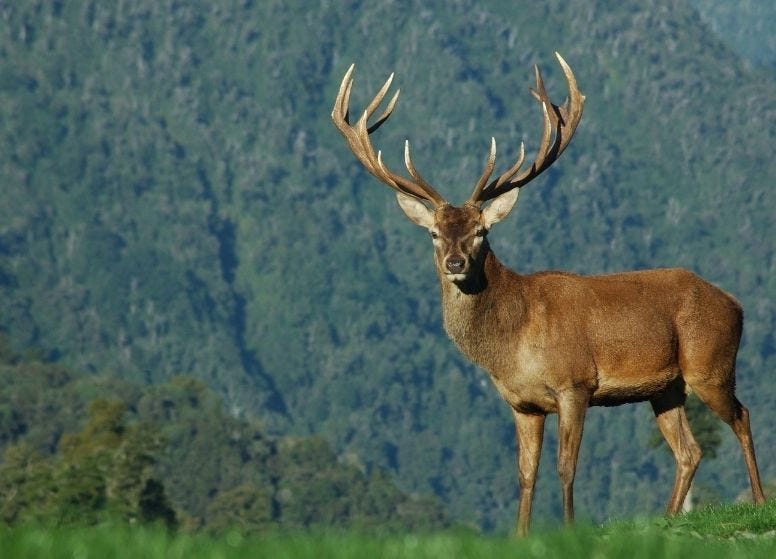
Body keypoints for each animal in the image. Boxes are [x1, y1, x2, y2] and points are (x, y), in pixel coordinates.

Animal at [330, 53, 768, 540]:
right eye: (434, 233)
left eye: (481, 231)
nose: (456, 263)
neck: (512, 343)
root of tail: (737, 305)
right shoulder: (522, 403)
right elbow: (526, 473)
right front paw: (520, 536)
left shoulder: (574, 383)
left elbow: (565, 466)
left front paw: (570, 529)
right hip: (667, 388)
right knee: (689, 450)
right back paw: (668, 519)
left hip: (710, 364)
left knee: (743, 417)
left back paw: (758, 501)